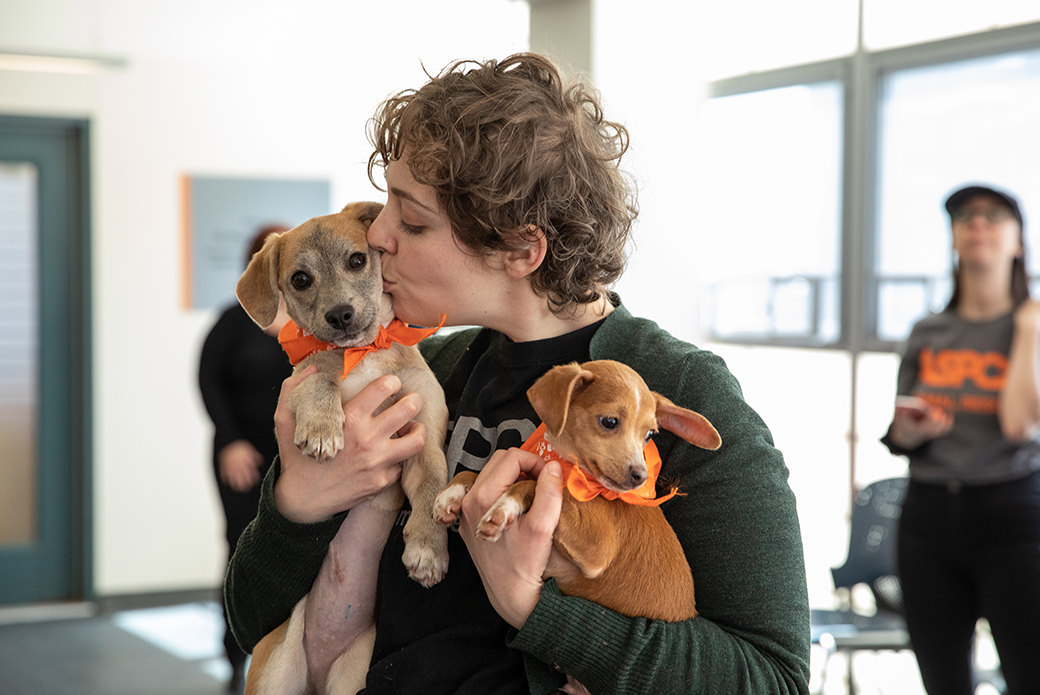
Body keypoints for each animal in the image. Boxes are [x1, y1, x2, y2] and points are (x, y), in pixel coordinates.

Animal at [238, 201, 449, 695]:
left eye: (357, 259)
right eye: (300, 279)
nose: (340, 315)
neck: (365, 354)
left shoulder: (423, 433)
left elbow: (433, 487)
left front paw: (428, 550)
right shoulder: (299, 379)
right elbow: (321, 381)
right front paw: (321, 428)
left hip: (351, 677)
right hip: (274, 674)